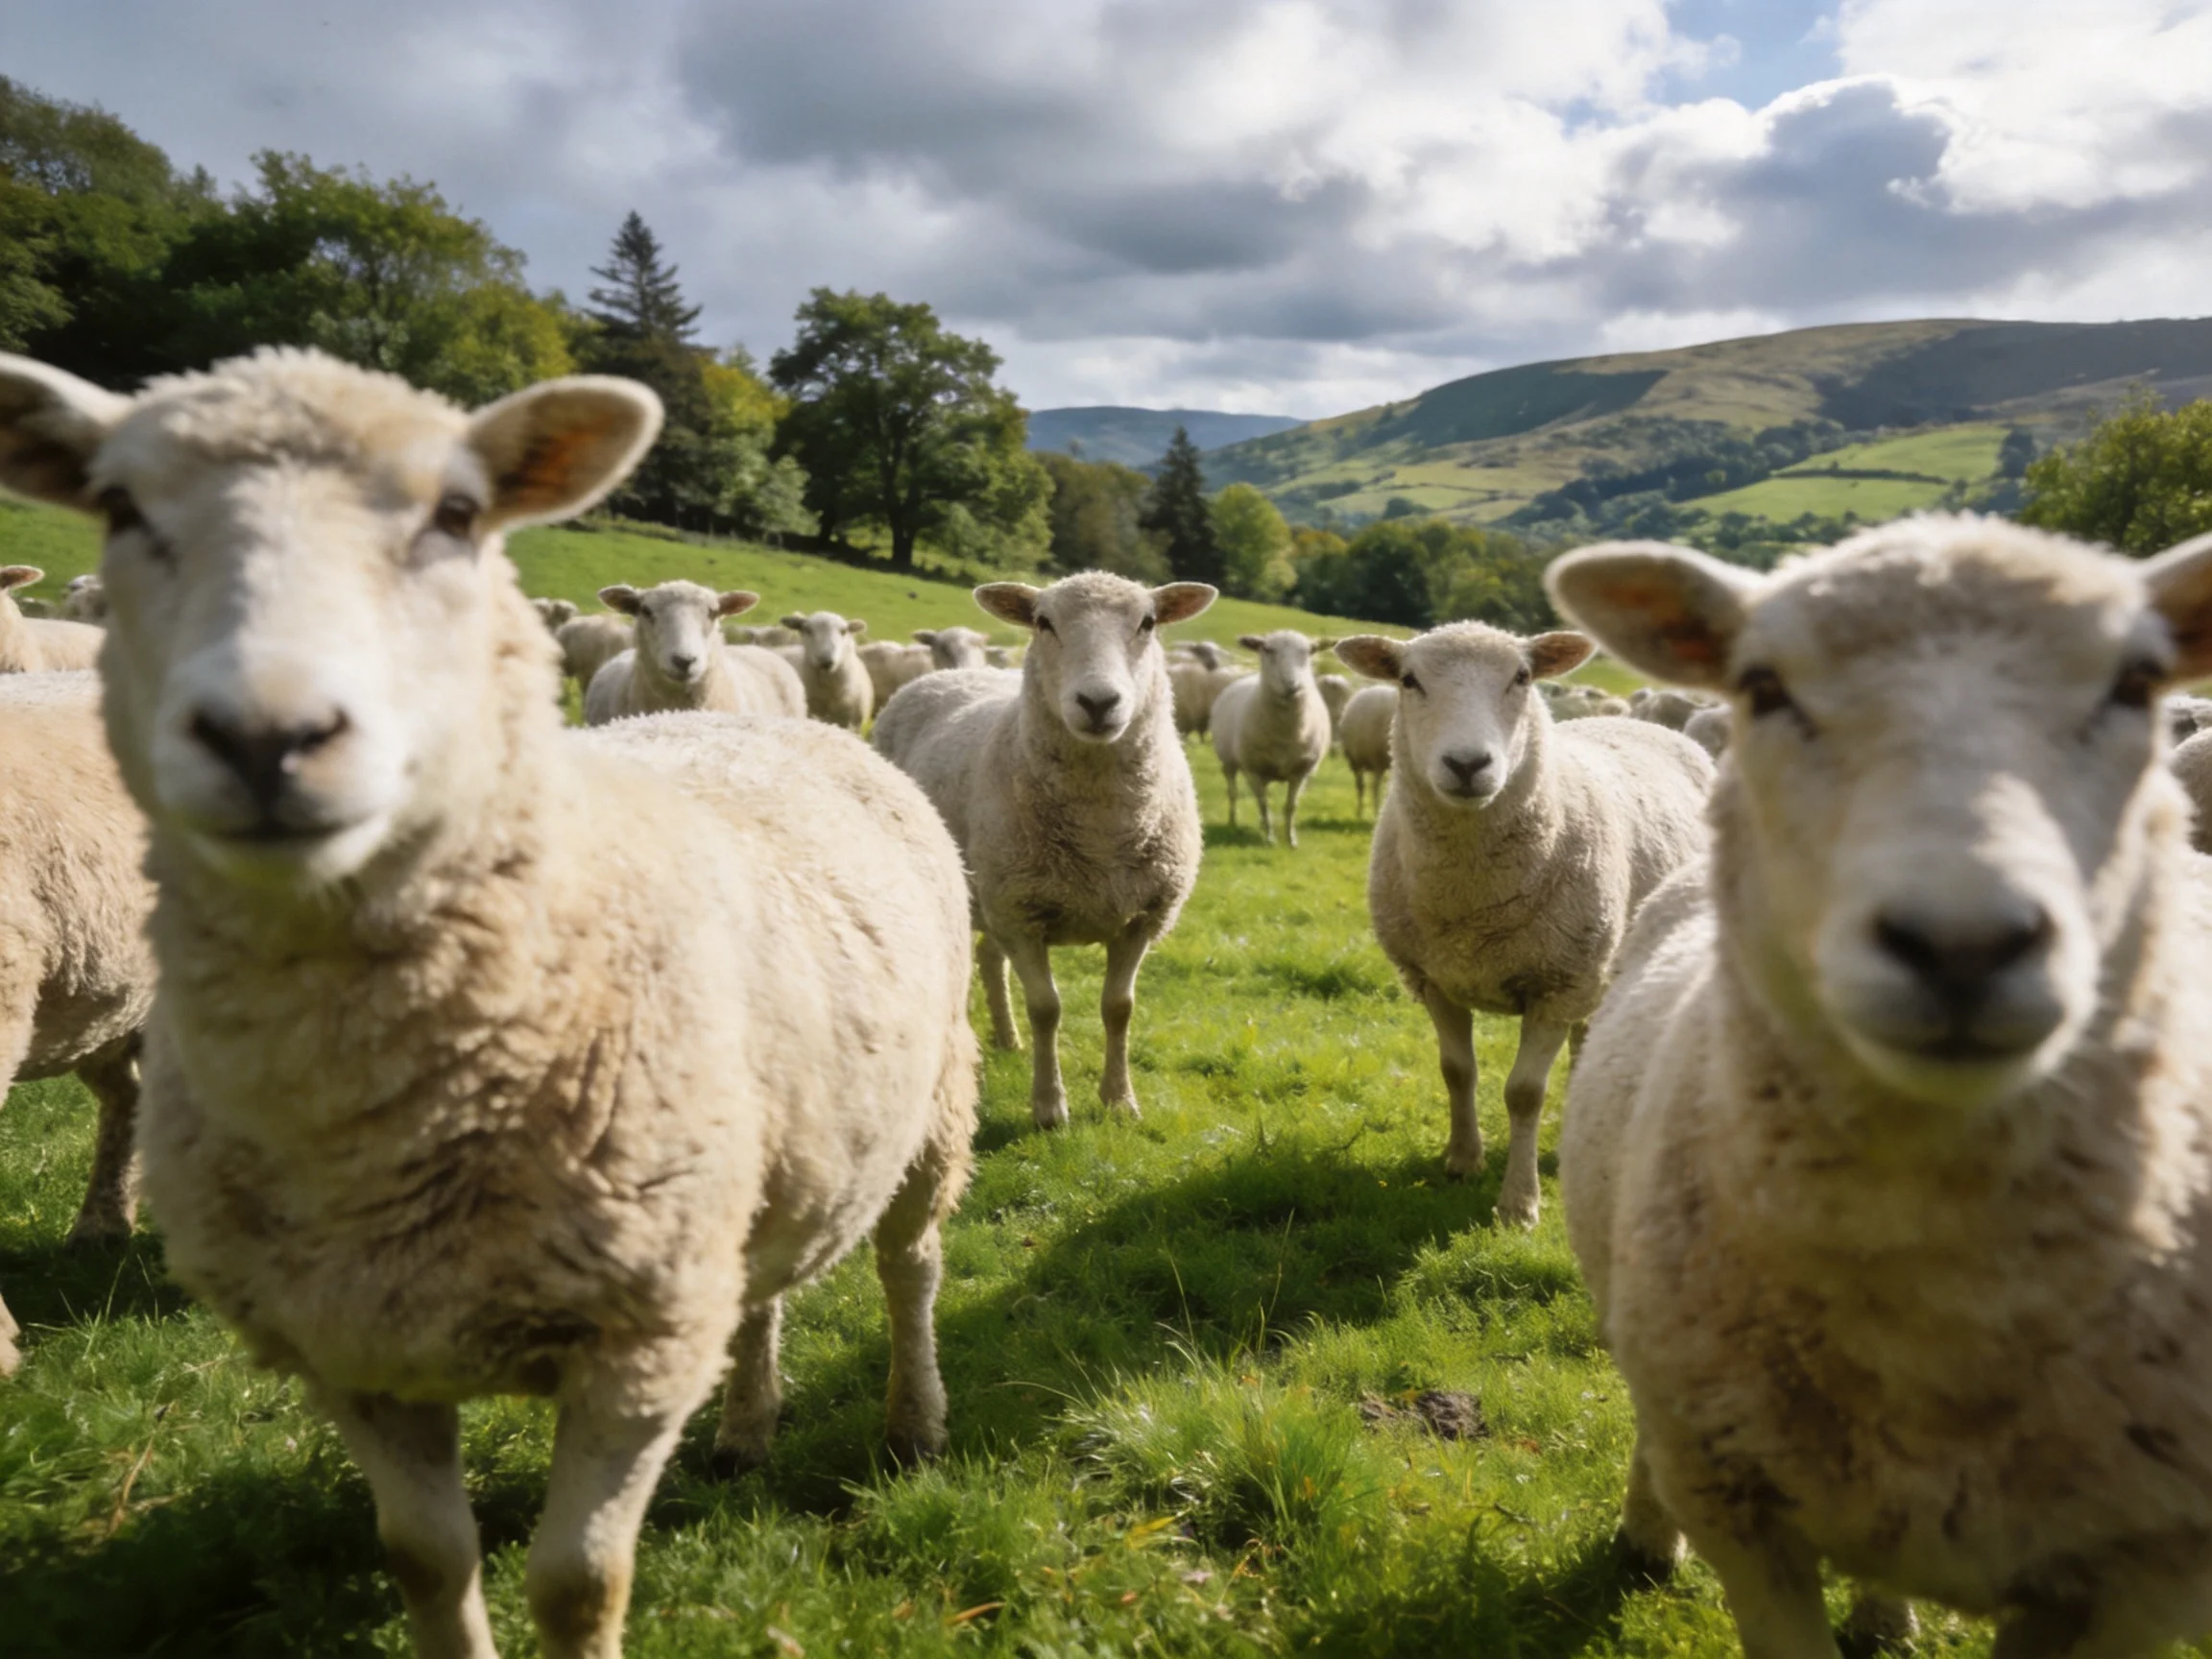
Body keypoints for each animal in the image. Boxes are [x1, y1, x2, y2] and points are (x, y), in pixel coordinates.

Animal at [873, 571, 1215, 1130]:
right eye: (1043, 622)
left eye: (1147, 623)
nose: (1098, 702)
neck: (1100, 833)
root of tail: (944, 676)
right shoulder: (1020, 915)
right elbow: (1046, 1009)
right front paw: (1050, 1107)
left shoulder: (1142, 916)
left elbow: (1119, 1007)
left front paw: (1119, 1101)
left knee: (989, 957)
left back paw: (1008, 1038)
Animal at [1210, 631, 1334, 846]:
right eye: (1268, 649)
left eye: (1309, 651)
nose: (1292, 685)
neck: (1285, 733)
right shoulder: (1253, 770)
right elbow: (1263, 803)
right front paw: (1269, 838)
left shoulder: (1301, 772)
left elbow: (1291, 806)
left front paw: (1291, 839)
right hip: (1229, 762)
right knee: (1233, 792)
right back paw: (1233, 822)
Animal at [1336, 683, 1397, 816]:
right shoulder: (1377, 760)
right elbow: (1375, 788)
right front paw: (1377, 812)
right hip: (1355, 761)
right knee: (1361, 786)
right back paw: (1360, 812)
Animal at [1543, 517, 2212, 1656]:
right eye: (1762, 685)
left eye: (2138, 681)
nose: (1962, 942)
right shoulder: (1739, 1505)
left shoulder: (2140, 1572)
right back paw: (1645, 1538)